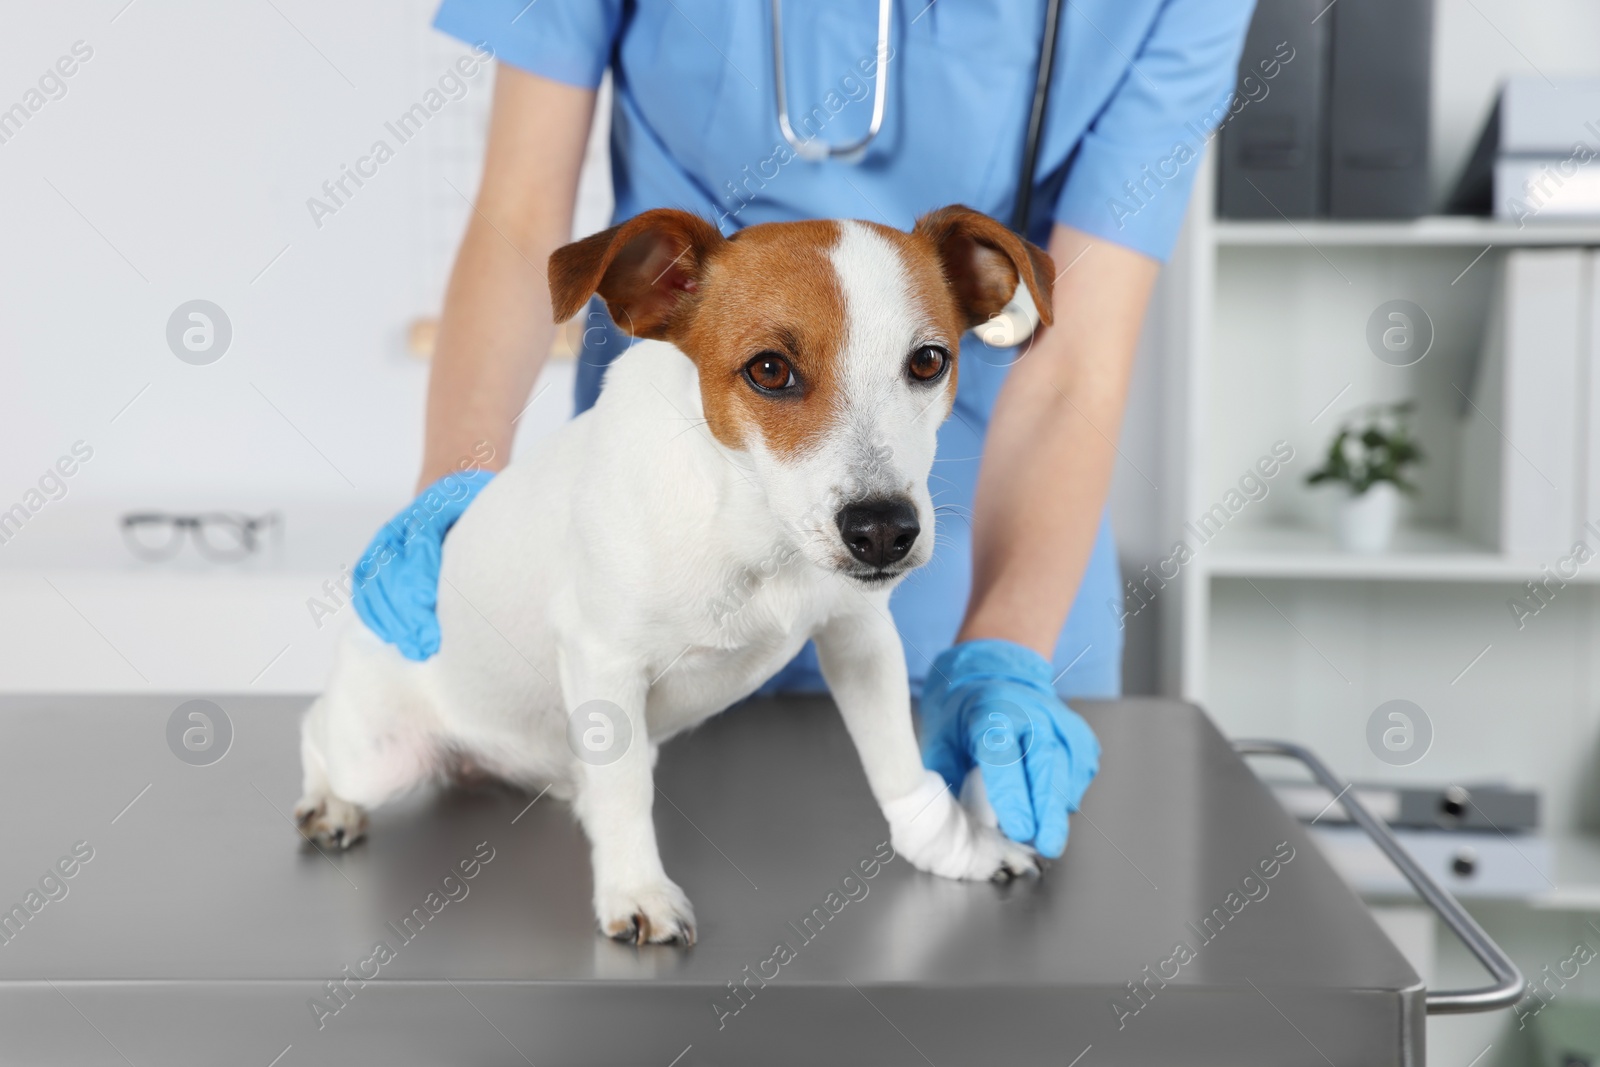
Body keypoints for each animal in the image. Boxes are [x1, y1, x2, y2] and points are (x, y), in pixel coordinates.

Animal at [296, 202, 1056, 940]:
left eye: (928, 361)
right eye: (769, 370)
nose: (884, 532)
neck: (754, 532)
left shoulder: (858, 636)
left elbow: (896, 757)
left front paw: (954, 846)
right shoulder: (603, 658)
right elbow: (626, 790)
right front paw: (636, 890)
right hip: (379, 754)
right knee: (316, 727)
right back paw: (329, 801)